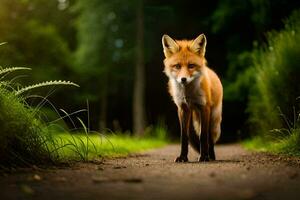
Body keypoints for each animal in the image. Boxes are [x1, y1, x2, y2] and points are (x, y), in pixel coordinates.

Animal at [162, 34, 223, 162]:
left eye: (191, 66)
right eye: (177, 66)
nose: (183, 79)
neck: (188, 94)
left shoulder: (204, 108)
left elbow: (203, 136)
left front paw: (204, 157)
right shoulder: (182, 109)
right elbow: (184, 137)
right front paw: (183, 157)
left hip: (213, 118)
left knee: (210, 138)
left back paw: (211, 156)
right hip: (192, 117)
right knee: (191, 136)